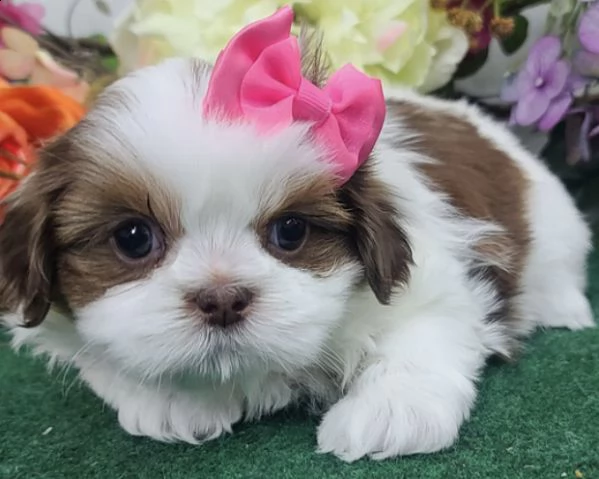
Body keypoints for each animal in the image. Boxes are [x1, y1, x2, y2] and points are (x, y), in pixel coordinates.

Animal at [0, 3, 592, 462]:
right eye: (133, 238)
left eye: (290, 231)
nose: (221, 298)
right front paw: (169, 398)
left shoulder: (437, 275)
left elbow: (427, 329)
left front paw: (392, 411)